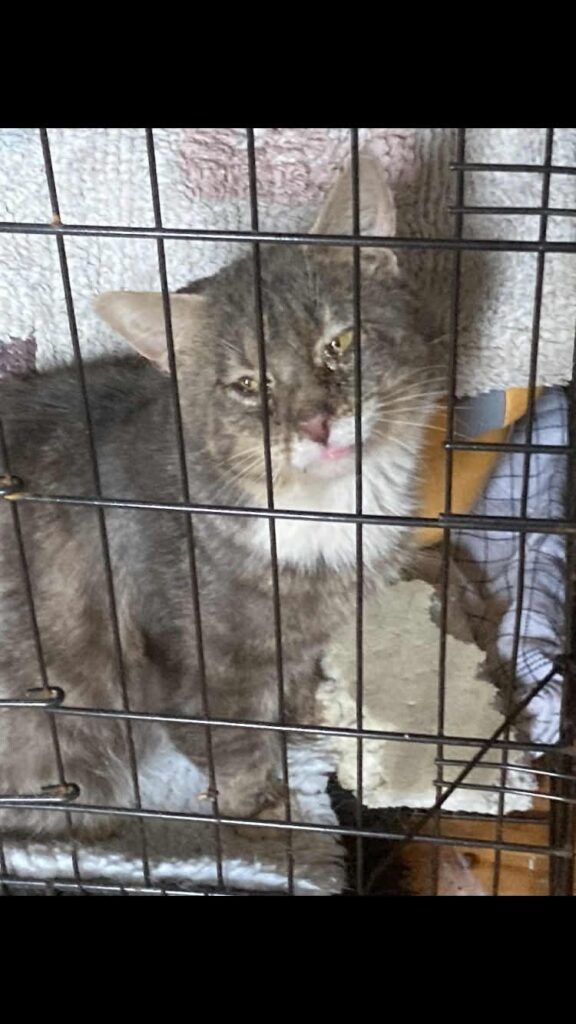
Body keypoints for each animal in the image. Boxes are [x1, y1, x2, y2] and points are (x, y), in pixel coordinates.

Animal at [0, 155, 443, 840]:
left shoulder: (297, 639)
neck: (325, 513)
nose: (316, 422)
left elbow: (291, 688)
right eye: (249, 385)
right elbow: (232, 746)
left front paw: (315, 716)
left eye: (339, 344)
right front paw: (267, 815)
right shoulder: (193, 662)